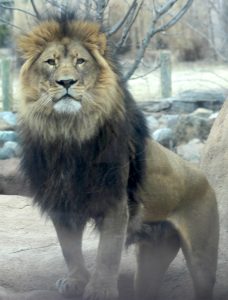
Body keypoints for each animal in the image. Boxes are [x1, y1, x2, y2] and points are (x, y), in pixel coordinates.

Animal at [16, 10, 218, 300]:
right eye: (51, 62)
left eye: (80, 61)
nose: (66, 82)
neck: (70, 131)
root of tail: (203, 177)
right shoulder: (61, 201)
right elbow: (69, 248)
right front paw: (75, 281)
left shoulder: (115, 199)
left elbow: (107, 253)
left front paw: (100, 289)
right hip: (151, 259)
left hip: (202, 258)